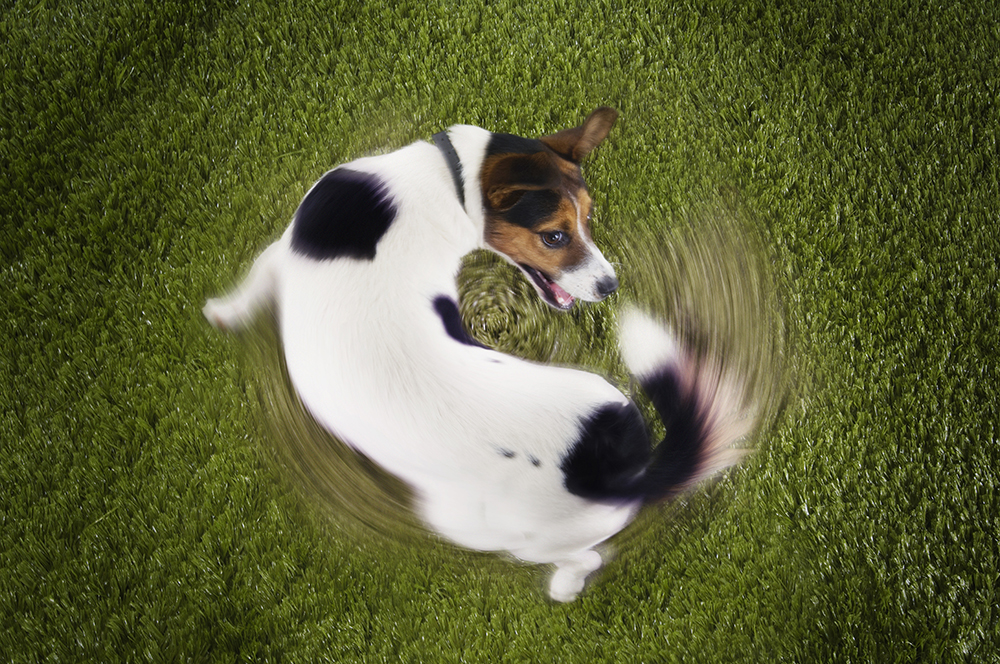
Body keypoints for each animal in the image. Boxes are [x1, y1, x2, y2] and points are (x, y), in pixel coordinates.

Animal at [203, 107, 752, 600]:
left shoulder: (280, 252)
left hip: (486, 528)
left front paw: (220, 313)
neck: (447, 182)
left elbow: (250, 285)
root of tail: (622, 471)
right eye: (556, 234)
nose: (610, 286)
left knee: (585, 557)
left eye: (588, 221)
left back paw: (563, 588)